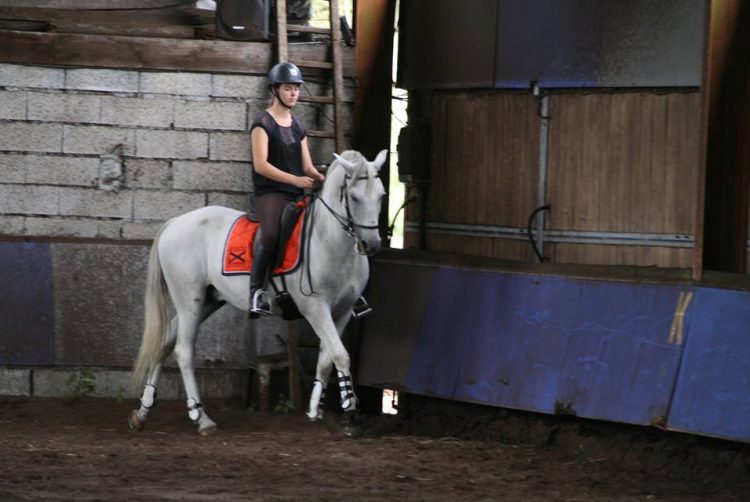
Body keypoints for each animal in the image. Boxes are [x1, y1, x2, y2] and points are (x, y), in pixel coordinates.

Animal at [129, 148, 388, 436]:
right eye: (354, 197)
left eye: (381, 195)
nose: (371, 244)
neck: (329, 239)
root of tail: (175, 222)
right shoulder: (315, 308)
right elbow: (341, 355)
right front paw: (351, 416)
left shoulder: (342, 311)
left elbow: (327, 359)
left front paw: (316, 410)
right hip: (189, 301)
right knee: (183, 350)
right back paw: (201, 417)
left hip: (208, 301)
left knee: (166, 340)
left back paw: (143, 410)